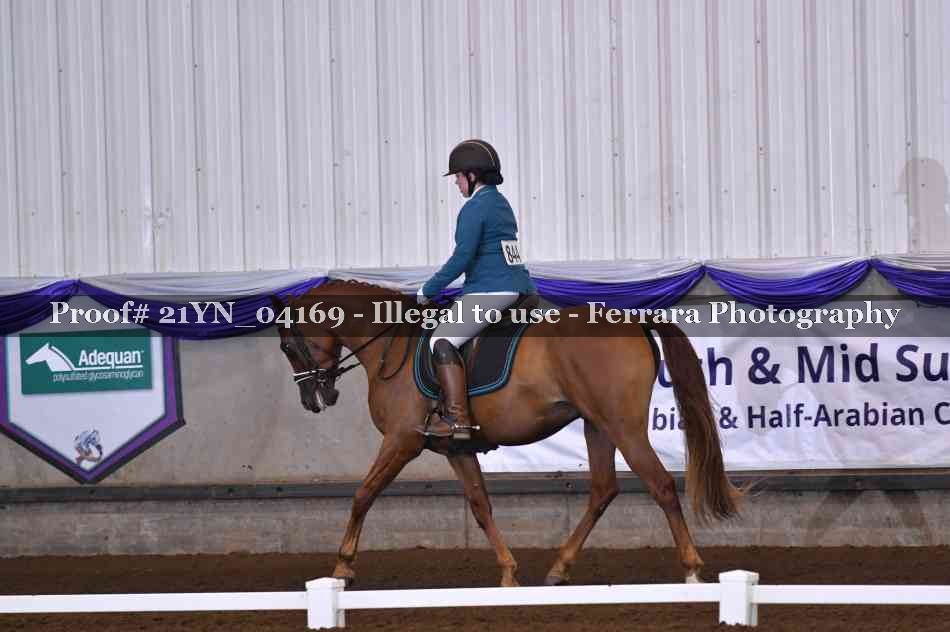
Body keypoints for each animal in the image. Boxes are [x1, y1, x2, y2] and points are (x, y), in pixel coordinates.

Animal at [272, 280, 742, 588]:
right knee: (603, 490)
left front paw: (342, 566)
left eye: (288, 346)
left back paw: (691, 569)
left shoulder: (402, 441)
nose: (315, 399)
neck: (394, 347)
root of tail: (634, 320)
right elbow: (481, 507)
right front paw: (509, 573)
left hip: (622, 426)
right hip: (597, 425)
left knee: (660, 485)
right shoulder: (455, 449)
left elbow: (363, 494)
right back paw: (559, 568)